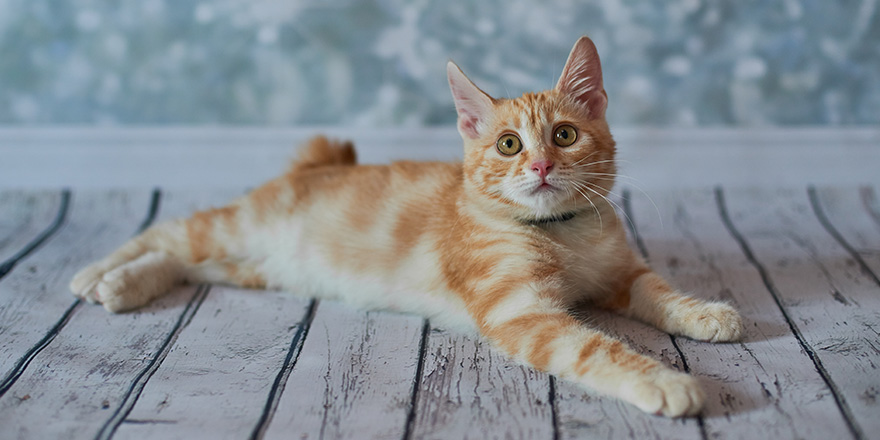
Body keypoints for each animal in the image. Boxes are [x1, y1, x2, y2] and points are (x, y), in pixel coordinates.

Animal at [70, 37, 744, 416]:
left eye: (565, 134)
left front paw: (706, 312)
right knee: (167, 234)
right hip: (238, 228)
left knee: (184, 262)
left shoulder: (620, 274)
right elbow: (596, 347)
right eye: (508, 144)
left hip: (254, 266)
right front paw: (666, 381)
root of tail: (313, 167)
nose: (541, 165)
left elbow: (658, 291)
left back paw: (125, 285)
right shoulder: (522, 313)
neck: (559, 230)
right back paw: (98, 273)